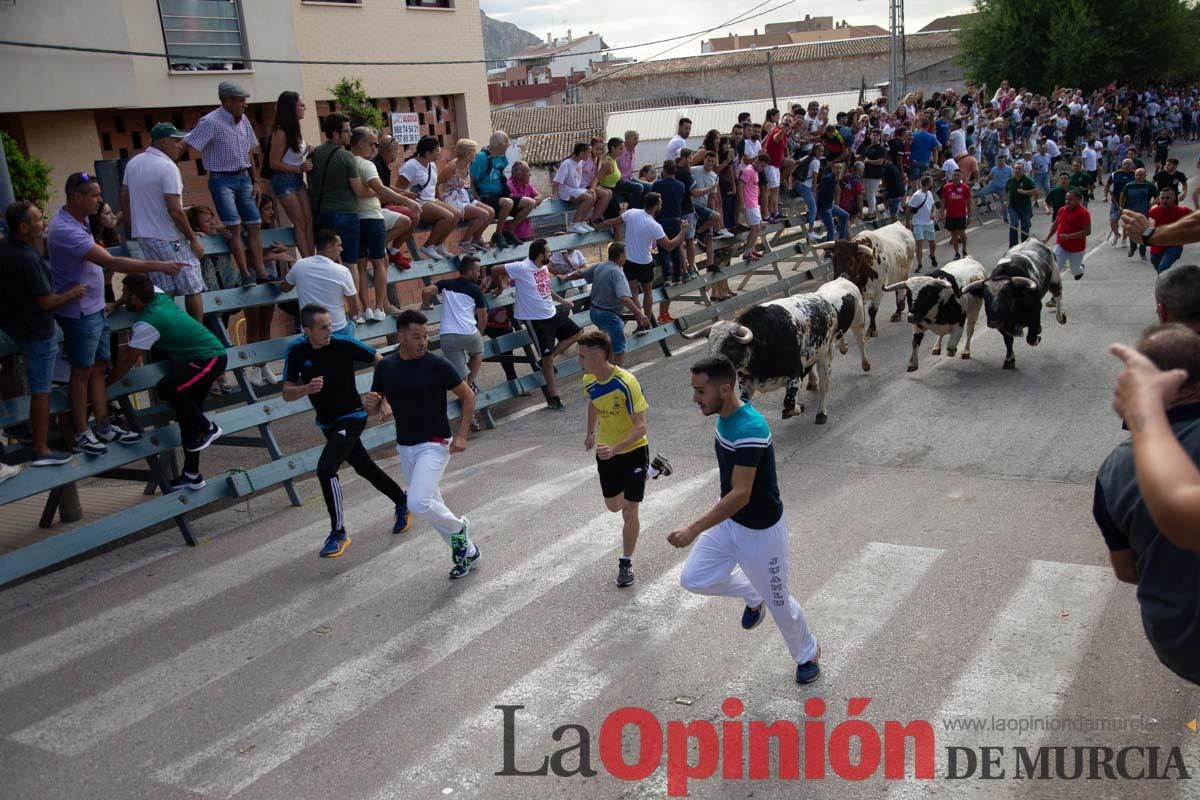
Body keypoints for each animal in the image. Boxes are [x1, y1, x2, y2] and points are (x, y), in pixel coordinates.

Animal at [696, 284, 873, 429]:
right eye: (710, 342)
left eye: (731, 345)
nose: (708, 365)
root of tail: (824, 301)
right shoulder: (746, 384)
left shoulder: (794, 375)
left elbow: (789, 404)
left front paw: (799, 408)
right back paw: (813, 383)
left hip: (830, 351)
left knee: (827, 382)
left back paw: (822, 412)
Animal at [960, 236, 1065, 371]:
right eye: (986, 297)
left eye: (1007, 295)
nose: (994, 321)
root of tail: (1033, 239)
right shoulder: (1002, 325)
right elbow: (1008, 340)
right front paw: (1009, 360)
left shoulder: (1035, 310)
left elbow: (1031, 337)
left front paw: (1037, 335)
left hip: (1055, 279)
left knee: (1058, 296)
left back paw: (1061, 317)